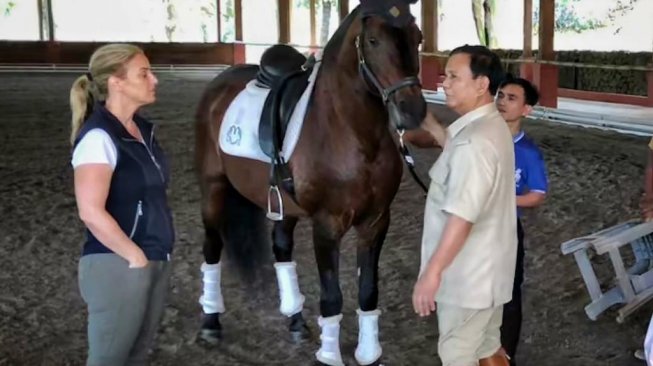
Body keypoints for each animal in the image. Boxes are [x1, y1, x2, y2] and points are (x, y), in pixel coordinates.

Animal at [192, 2, 428, 366]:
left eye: (417, 38)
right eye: (373, 40)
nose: (412, 110)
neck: (351, 133)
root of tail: (219, 87)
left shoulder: (376, 221)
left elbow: (368, 291)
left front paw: (369, 354)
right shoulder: (327, 225)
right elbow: (332, 297)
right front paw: (330, 357)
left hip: (282, 205)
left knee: (281, 248)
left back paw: (295, 321)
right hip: (214, 189)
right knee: (212, 248)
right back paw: (210, 323)